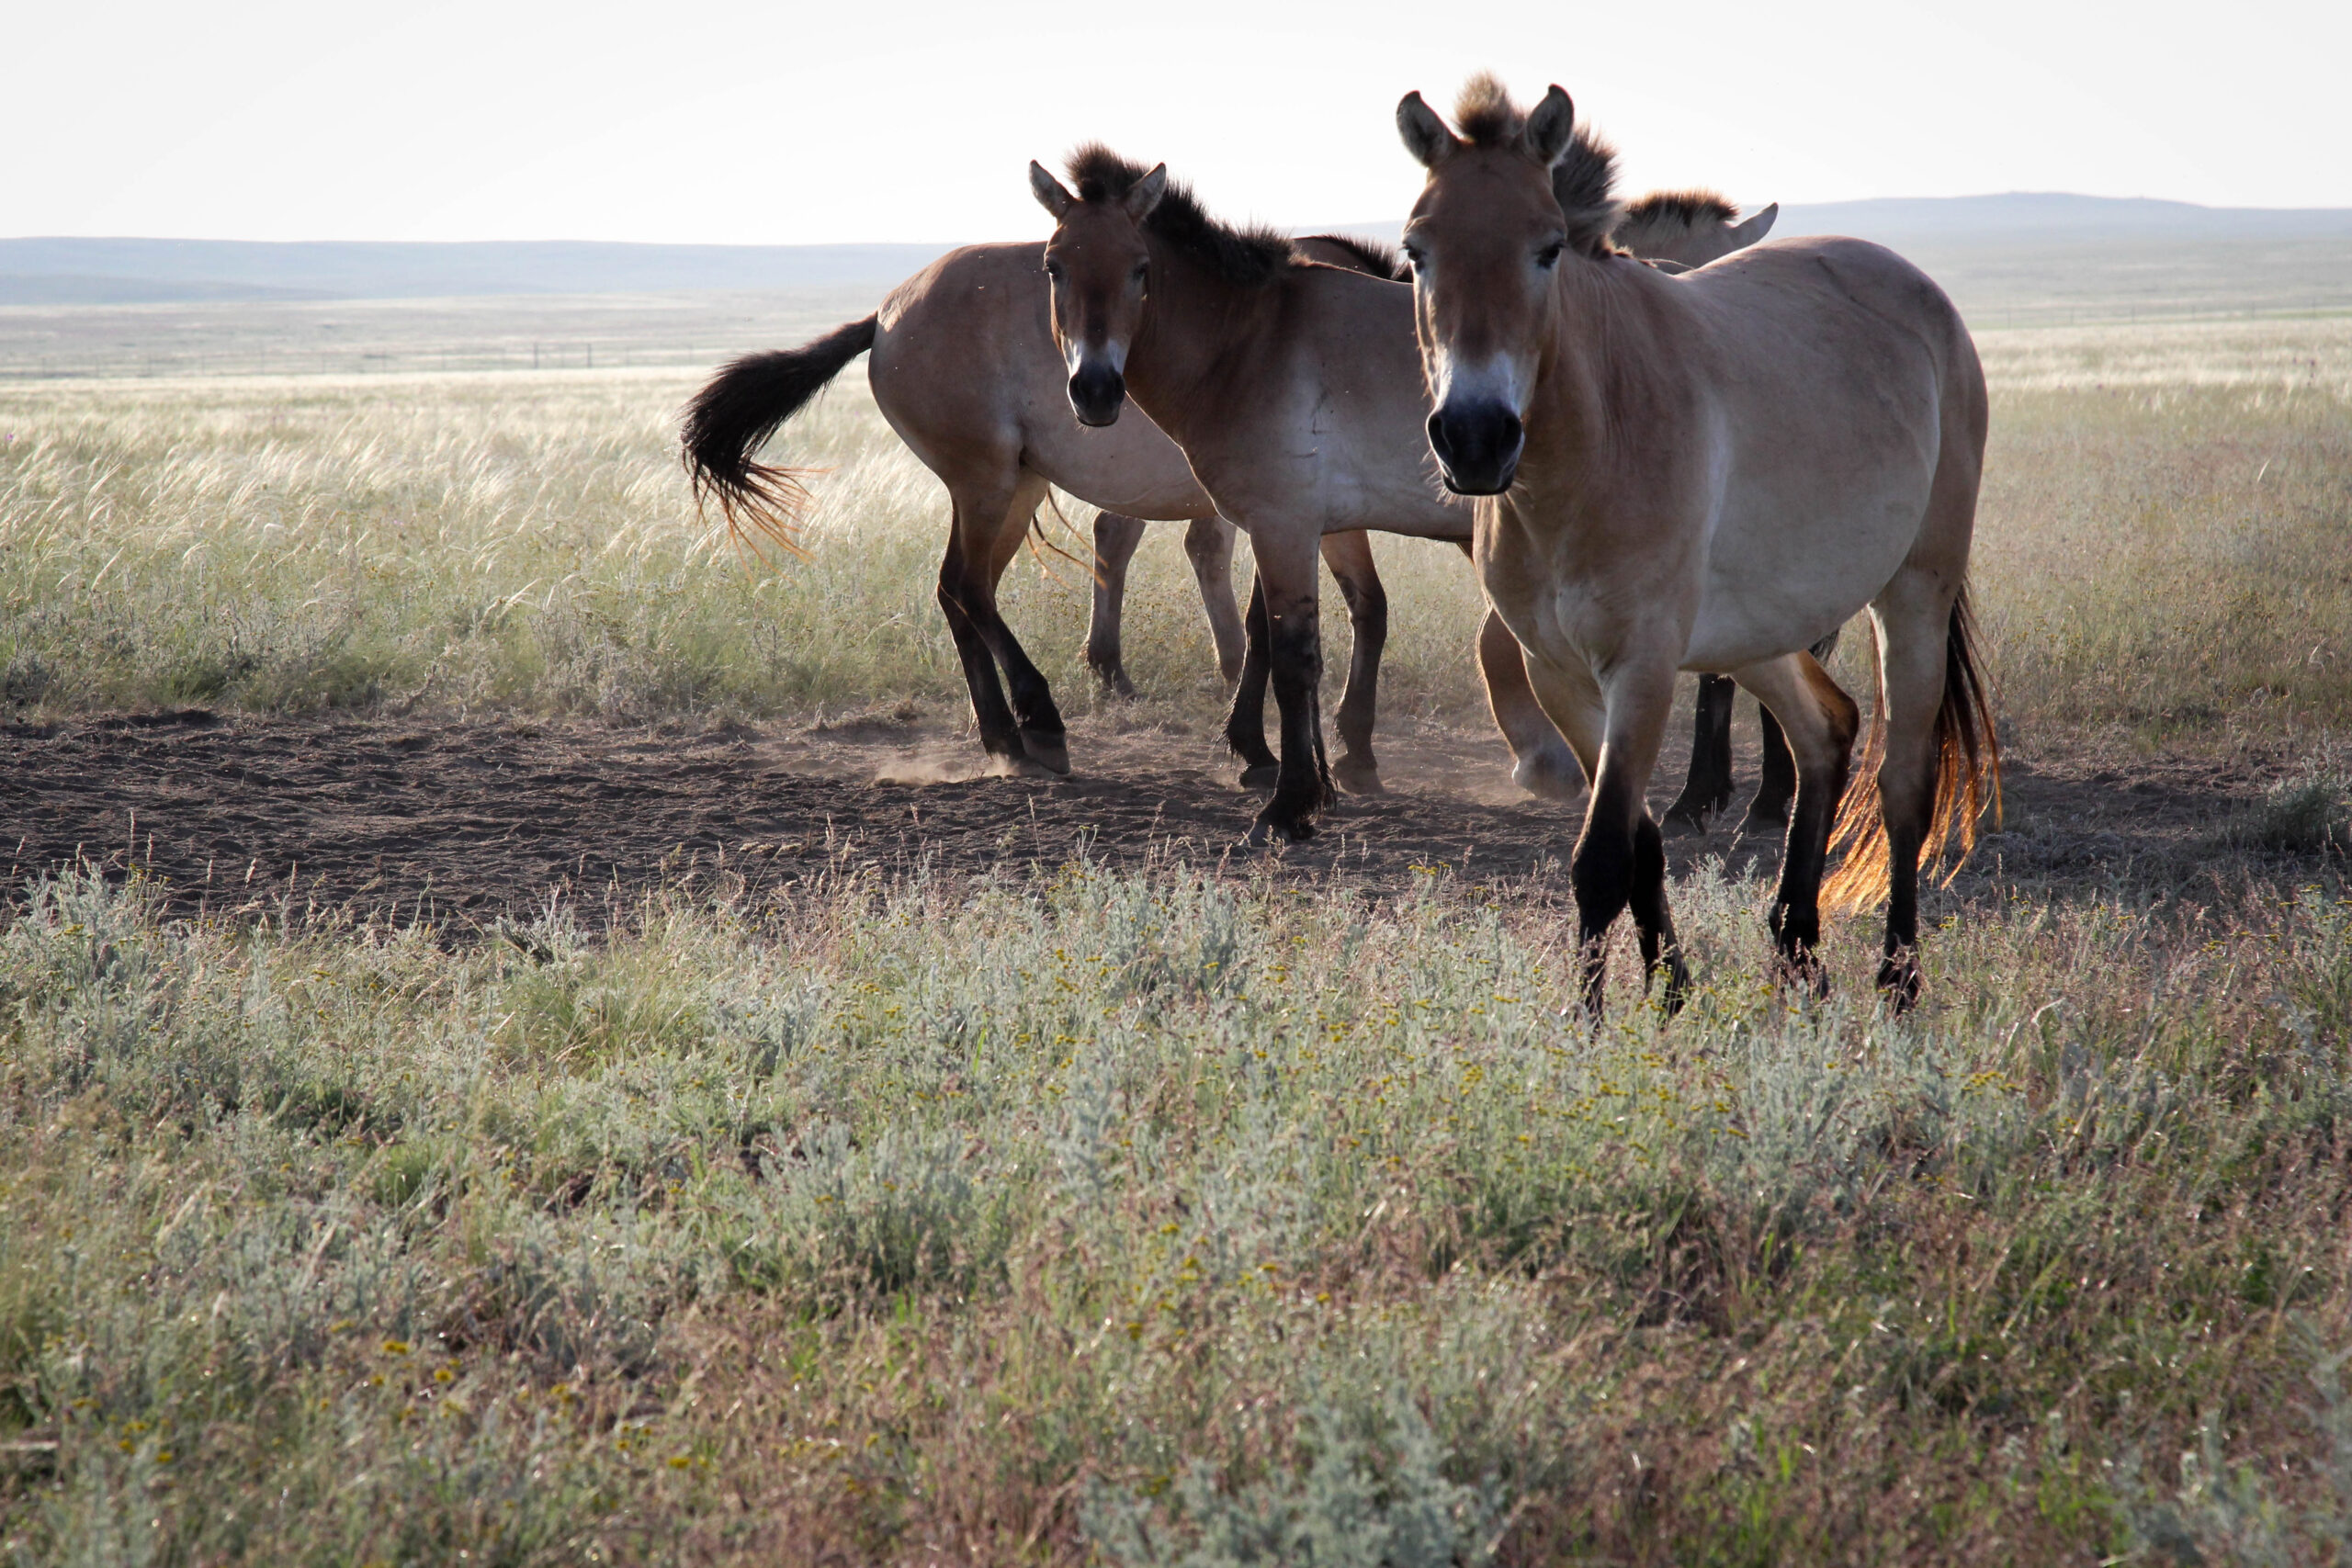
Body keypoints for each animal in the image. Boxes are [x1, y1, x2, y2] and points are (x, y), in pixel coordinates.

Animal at [1392, 73, 2004, 1010]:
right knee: (1826, 728)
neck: (1592, 441)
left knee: (1905, 781)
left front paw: (1590, 1024)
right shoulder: (1560, 674)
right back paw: (1796, 949)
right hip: (1757, 629)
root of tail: (1916, 287)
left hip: (1914, 594)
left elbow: (1602, 857)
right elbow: (1641, 842)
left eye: (1547, 250)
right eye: (1416, 251)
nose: (1475, 437)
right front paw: (1671, 989)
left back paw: (1896, 981)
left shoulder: (1641, 666)